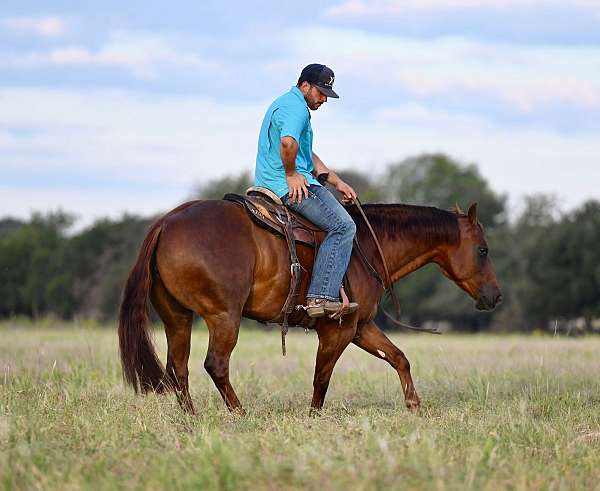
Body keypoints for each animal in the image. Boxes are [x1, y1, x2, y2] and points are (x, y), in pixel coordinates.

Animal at [117, 201, 502, 416]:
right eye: (483, 249)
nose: (495, 296)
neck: (365, 247)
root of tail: (166, 223)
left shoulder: (361, 327)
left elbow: (398, 358)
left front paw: (414, 405)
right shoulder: (338, 331)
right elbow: (321, 377)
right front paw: (313, 418)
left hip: (177, 318)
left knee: (178, 369)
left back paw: (192, 419)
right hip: (223, 317)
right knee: (216, 365)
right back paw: (240, 414)